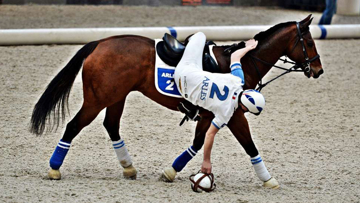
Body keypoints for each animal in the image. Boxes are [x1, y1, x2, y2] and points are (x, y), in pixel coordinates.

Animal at [30, 14, 324, 189]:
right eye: (309, 42)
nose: (318, 70)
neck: (247, 62)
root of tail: (100, 42)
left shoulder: (208, 115)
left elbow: (198, 143)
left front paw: (171, 172)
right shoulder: (233, 114)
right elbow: (249, 145)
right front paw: (269, 179)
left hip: (116, 97)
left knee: (111, 126)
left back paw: (129, 167)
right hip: (98, 98)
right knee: (73, 126)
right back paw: (54, 169)